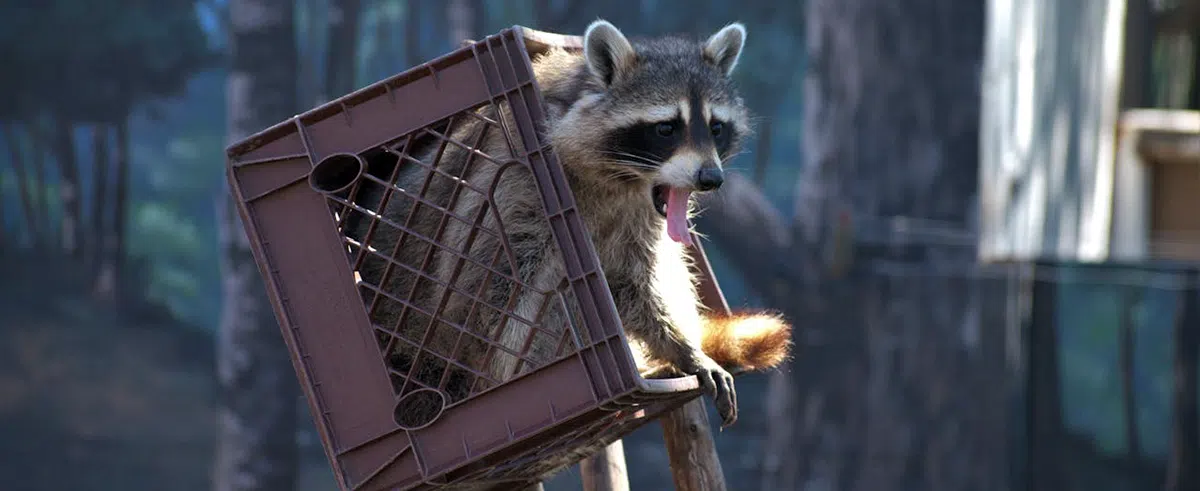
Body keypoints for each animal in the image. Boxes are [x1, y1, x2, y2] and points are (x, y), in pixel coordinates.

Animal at [341, 19, 791, 465]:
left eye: (716, 127)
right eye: (666, 128)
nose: (710, 179)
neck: (624, 181)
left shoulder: (641, 218)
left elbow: (641, 281)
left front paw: (682, 346)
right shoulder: (511, 184)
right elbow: (483, 290)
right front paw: (677, 348)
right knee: (546, 292)